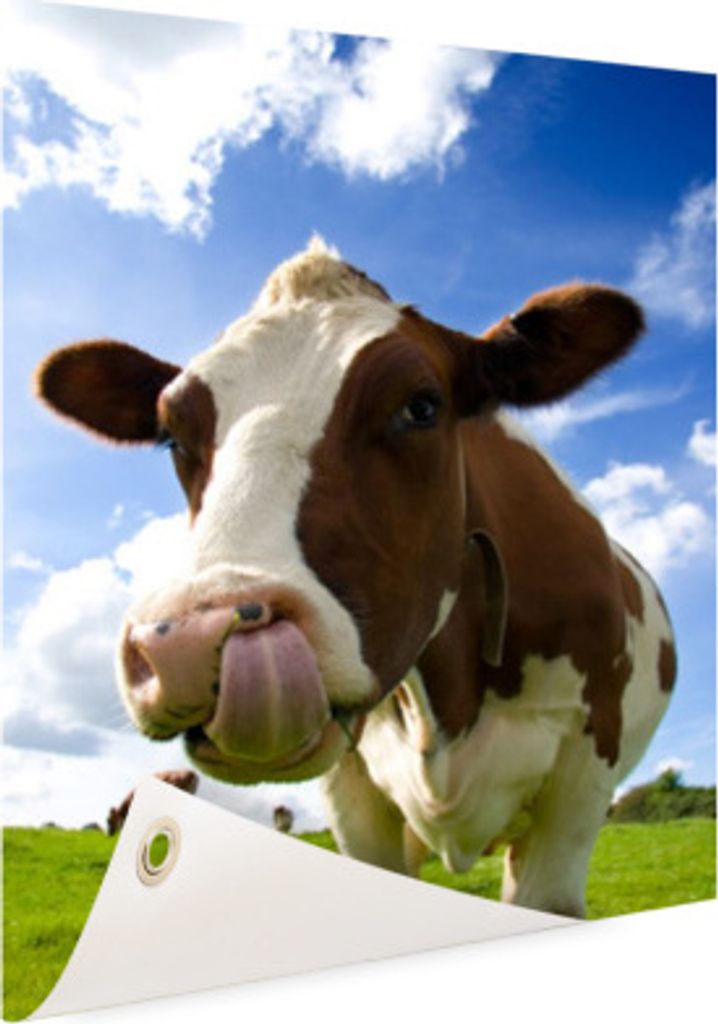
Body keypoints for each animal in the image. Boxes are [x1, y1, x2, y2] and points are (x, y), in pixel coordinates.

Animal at [35, 237, 675, 917]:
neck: (451, 703)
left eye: (421, 406)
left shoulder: (582, 772)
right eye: (172, 436)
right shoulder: (353, 792)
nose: (187, 643)